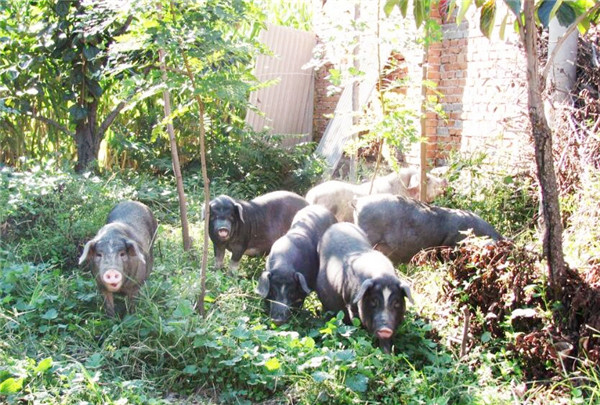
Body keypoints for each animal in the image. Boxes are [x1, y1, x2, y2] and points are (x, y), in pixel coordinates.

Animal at [314, 223, 412, 352]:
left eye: (396, 302)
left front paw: (387, 353)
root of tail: (338, 224)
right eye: (373, 301)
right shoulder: (351, 304)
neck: (382, 274)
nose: (385, 329)